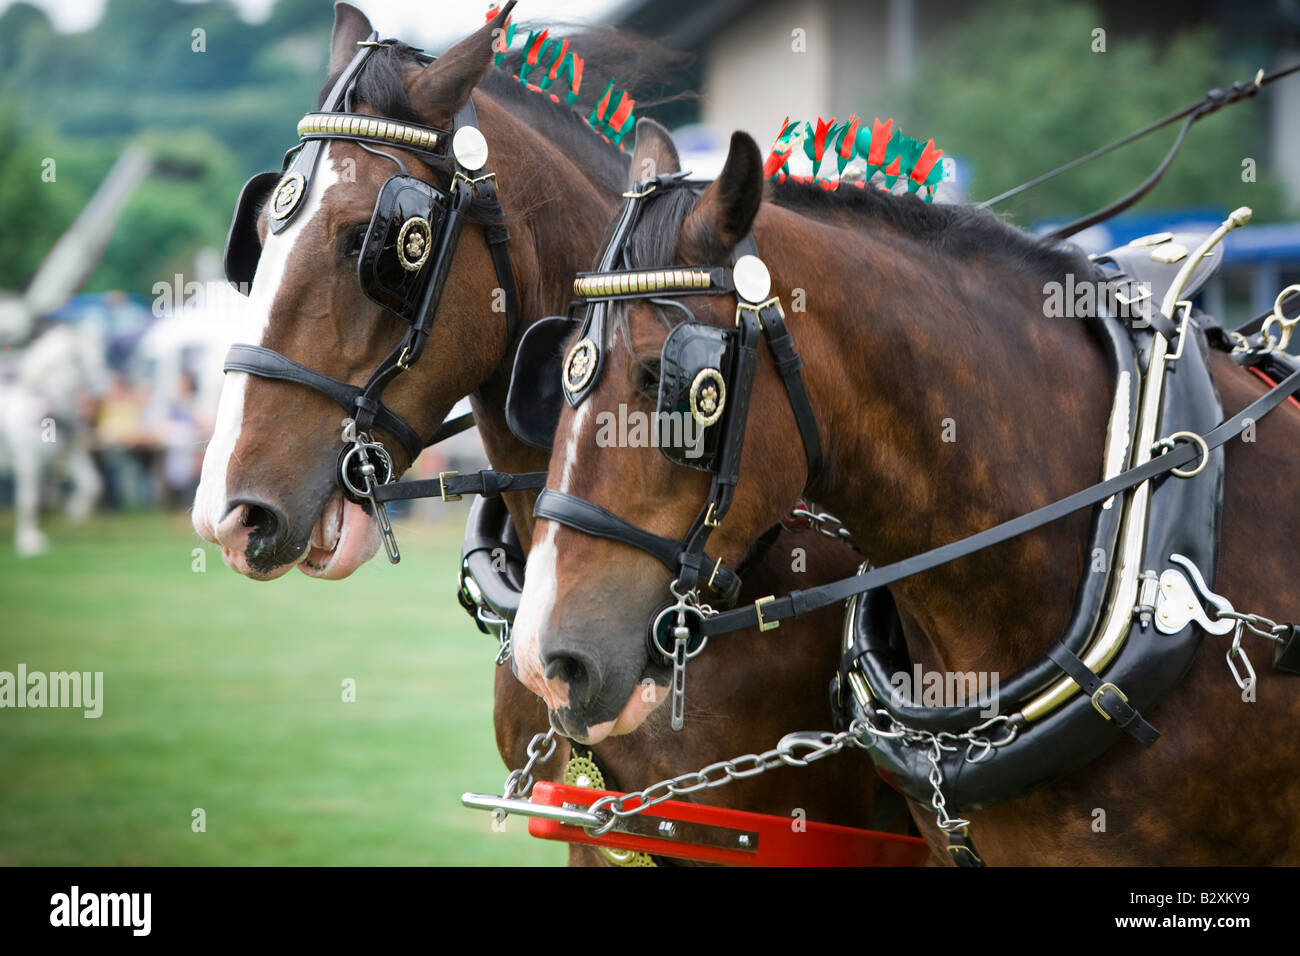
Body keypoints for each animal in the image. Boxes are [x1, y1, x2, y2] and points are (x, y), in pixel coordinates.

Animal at [0, 325, 109, 556]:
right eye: (86, 360)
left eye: (102, 356)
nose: (104, 389)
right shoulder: (28, 464)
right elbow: (28, 501)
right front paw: (28, 542)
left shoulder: (71, 454)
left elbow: (92, 483)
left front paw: (76, 509)